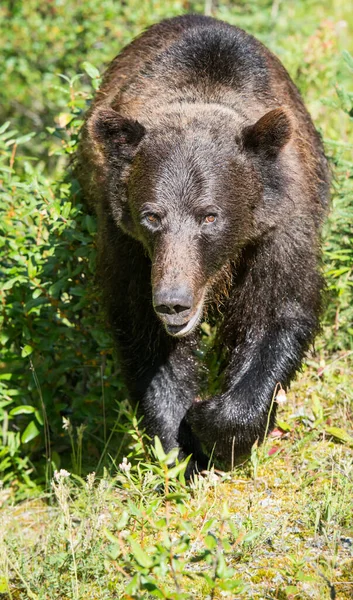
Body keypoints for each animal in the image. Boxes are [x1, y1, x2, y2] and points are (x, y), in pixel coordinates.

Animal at [76, 12, 328, 474]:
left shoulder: (280, 226)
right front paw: (179, 446)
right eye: (152, 215)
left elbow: (277, 312)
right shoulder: (127, 243)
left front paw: (213, 425)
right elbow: (146, 335)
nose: (173, 302)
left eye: (210, 215)